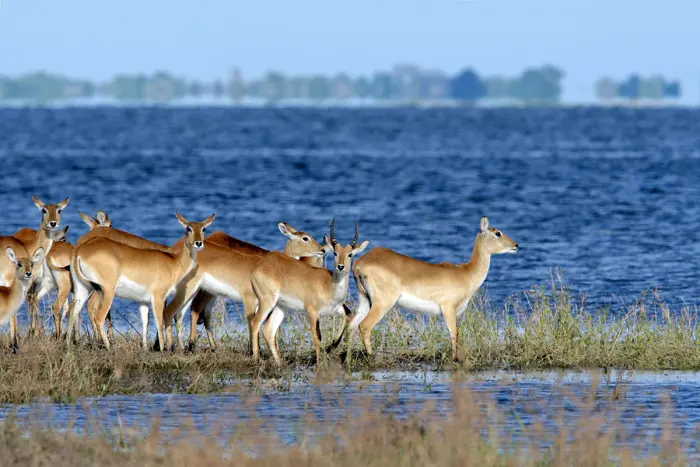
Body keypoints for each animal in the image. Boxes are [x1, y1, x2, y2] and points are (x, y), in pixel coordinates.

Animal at [66, 212, 215, 352]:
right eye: (188, 228)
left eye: (204, 228)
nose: (198, 243)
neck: (173, 262)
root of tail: (80, 250)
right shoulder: (158, 297)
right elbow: (159, 321)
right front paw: (162, 349)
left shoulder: (143, 301)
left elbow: (145, 321)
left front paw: (145, 348)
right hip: (106, 291)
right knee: (98, 316)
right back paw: (108, 347)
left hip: (83, 288)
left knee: (73, 312)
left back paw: (68, 345)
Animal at [252, 221, 372, 368]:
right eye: (335, 253)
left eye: (350, 254)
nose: (340, 266)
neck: (328, 287)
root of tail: (259, 266)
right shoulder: (312, 312)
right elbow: (317, 336)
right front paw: (319, 363)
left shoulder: (336, 310)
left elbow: (347, 317)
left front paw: (331, 347)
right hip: (267, 302)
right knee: (255, 323)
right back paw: (256, 361)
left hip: (281, 307)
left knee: (268, 330)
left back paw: (280, 364)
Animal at [350, 217, 520, 362]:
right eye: (497, 233)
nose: (516, 245)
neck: (466, 273)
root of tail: (360, 262)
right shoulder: (448, 309)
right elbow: (454, 333)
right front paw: (455, 359)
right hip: (383, 303)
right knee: (364, 326)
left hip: (365, 300)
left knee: (351, 325)